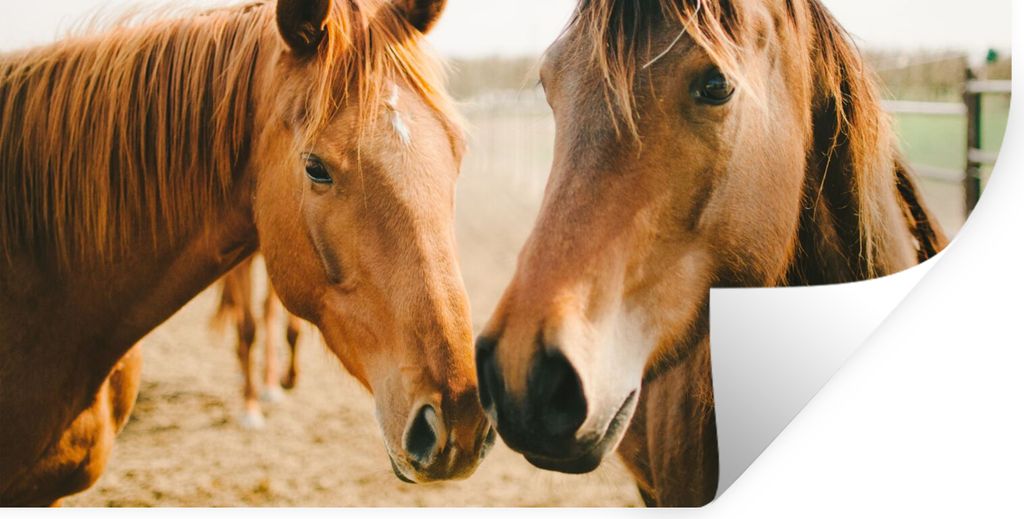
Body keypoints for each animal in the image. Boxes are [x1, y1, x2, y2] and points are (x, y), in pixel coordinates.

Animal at [213, 256, 304, 429]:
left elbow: (293, 329)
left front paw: (289, 379)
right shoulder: (240, 266)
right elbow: (248, 330)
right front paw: (250, 409)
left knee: (267, 311)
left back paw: (270, 384)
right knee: (238, 312)